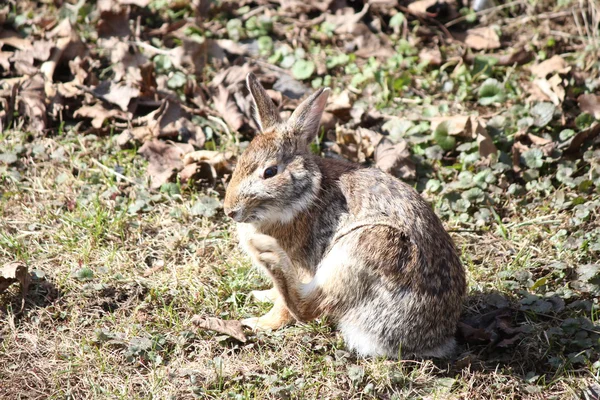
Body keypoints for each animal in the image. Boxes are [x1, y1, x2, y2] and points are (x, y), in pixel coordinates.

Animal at [223, 72, 466, 360]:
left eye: (270, 172)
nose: (230, 210)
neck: (307, 194)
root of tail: (434, 340)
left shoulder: (304, 264)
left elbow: (285, 310)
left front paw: (260, 323)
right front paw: (263, 294)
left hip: (365, 249)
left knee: (308, 307)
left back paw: (269, 259)